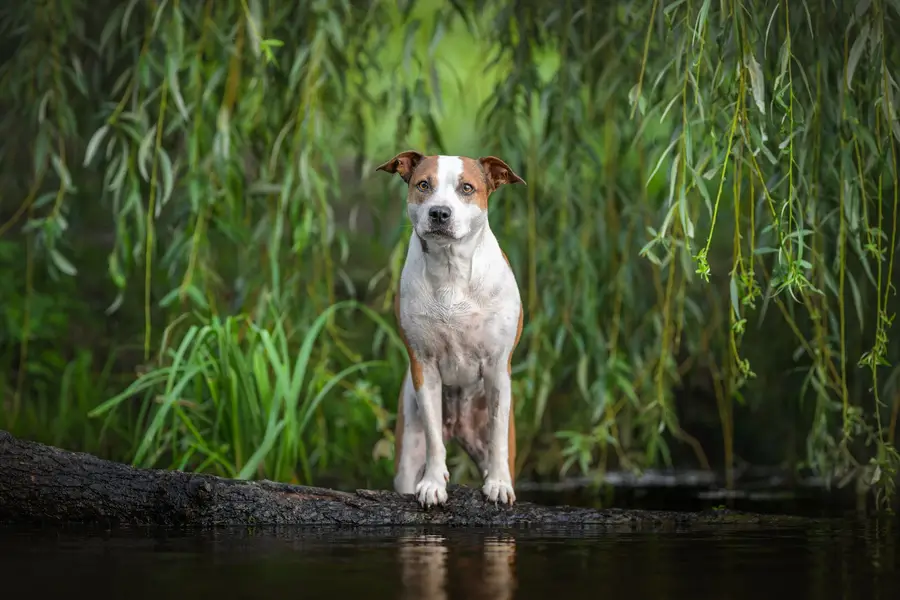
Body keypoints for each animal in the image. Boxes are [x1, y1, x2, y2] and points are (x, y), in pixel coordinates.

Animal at [374, 150, 528, 506]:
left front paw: (498, 484)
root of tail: (459, 426)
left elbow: (498, 434)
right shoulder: (424, 367)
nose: (439, 212)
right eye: (423, 185)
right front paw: (433, 484)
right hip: (407, 449)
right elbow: (434, 438)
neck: (450, 269)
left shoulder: (498, 368)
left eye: (467, 188)